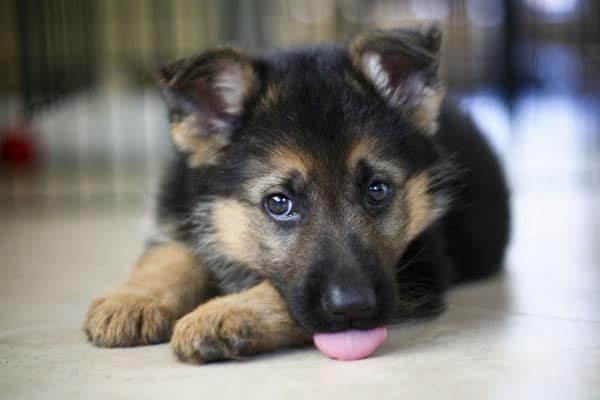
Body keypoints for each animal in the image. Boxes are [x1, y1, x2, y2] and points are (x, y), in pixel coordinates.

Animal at [84, 26, 508, 364]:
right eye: (279, 203)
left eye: (378, 190)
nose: (354, 307)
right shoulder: (178, 207)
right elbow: (167, 256)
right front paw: (133, 301)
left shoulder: (420, 267)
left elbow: (279, 295)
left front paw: (224, 313)